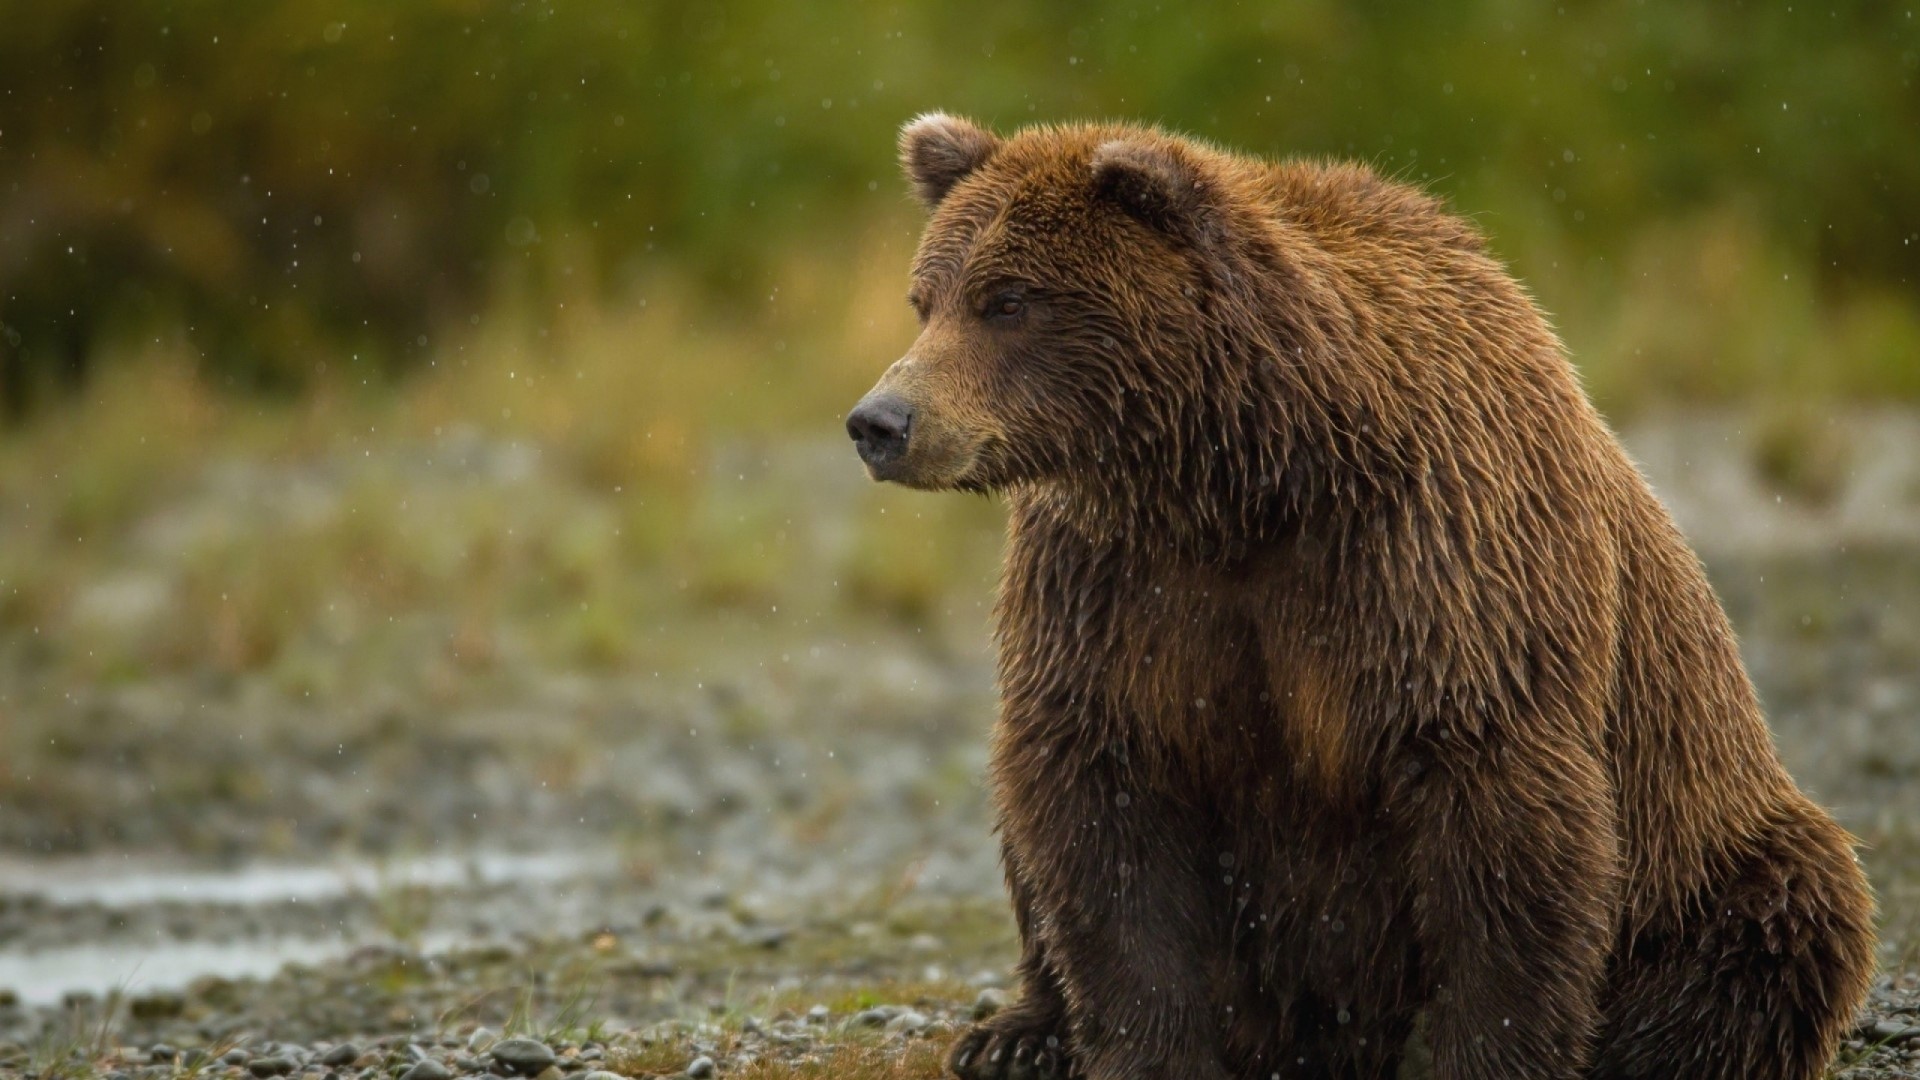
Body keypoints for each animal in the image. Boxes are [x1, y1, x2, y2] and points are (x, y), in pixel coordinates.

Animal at [844, 115, 1876, 1080]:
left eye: (1007, 300)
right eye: (925, 299)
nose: (881, 421)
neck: (1244, 481)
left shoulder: (1437, 567)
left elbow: (1501, 830)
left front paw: (1479, 1052)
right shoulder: (1115, 587)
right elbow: (1101, 806)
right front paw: (1142, 1046)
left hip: (1711, 850)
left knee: (1771, 927)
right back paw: (1016, 1033)